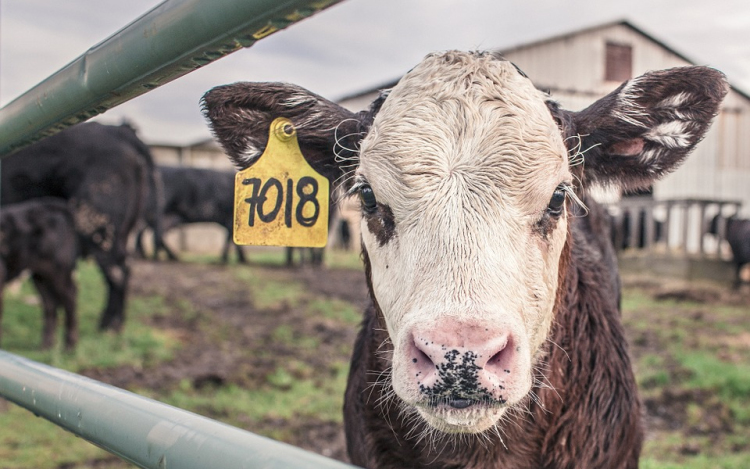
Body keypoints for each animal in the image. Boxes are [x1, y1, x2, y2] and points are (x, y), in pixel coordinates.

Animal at [0, 197, 79, 348]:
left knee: (69, 297)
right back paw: (46, 345)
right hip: (40, 275)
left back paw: (69, 346)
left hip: (59, 271)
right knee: (50, 303)